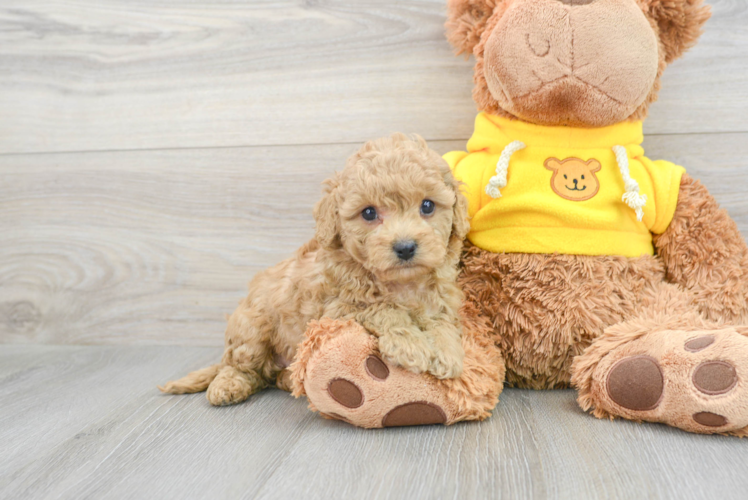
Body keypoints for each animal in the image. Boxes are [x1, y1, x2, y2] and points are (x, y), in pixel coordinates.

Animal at [161, 134, 470, 406]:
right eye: (369, 213)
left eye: (427, 205)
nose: (405, 247)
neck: (401, 283)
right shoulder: (337, 308)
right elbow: (382, 308)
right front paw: (412, 345)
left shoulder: (439, 300)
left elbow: (441, 323)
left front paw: (447, 352)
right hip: (252, 328)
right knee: (242, 365)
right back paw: (227, 386)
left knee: (267, 376)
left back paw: (288, 379)